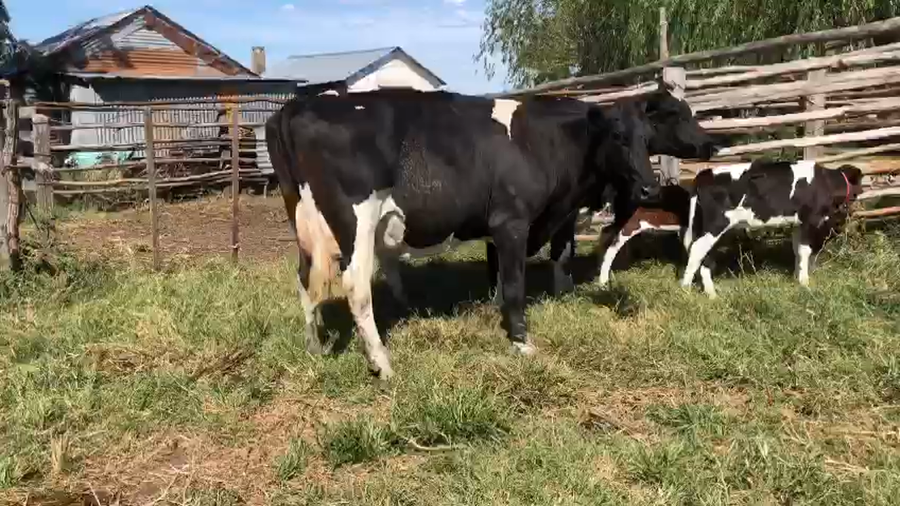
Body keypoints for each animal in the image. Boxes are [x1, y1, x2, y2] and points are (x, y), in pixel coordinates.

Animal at [265, 87, 663, 381]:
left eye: (648, 138)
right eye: (618, 137)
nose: (650, 188)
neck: (540, 140)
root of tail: (299, 105)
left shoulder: (498, 228)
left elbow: (498, 275)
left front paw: (496, 312)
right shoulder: (512, 222)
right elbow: (515, 285)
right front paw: (522, 343)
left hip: (304, 223)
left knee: (305, 280)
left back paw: (314, 347)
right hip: (356, 221)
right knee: (356, 287)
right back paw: (382, 362)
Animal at [678, 160, 864, 297]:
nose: (861, 193)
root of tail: (704, 174)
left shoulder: (798, 224)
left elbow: (797, 250)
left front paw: (796, 278)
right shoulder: (809, 221)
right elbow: (804, 251)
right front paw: (804, 282)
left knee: (704, 254)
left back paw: (711, 293)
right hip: (716, 223)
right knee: (697, 250)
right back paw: (686, 289)